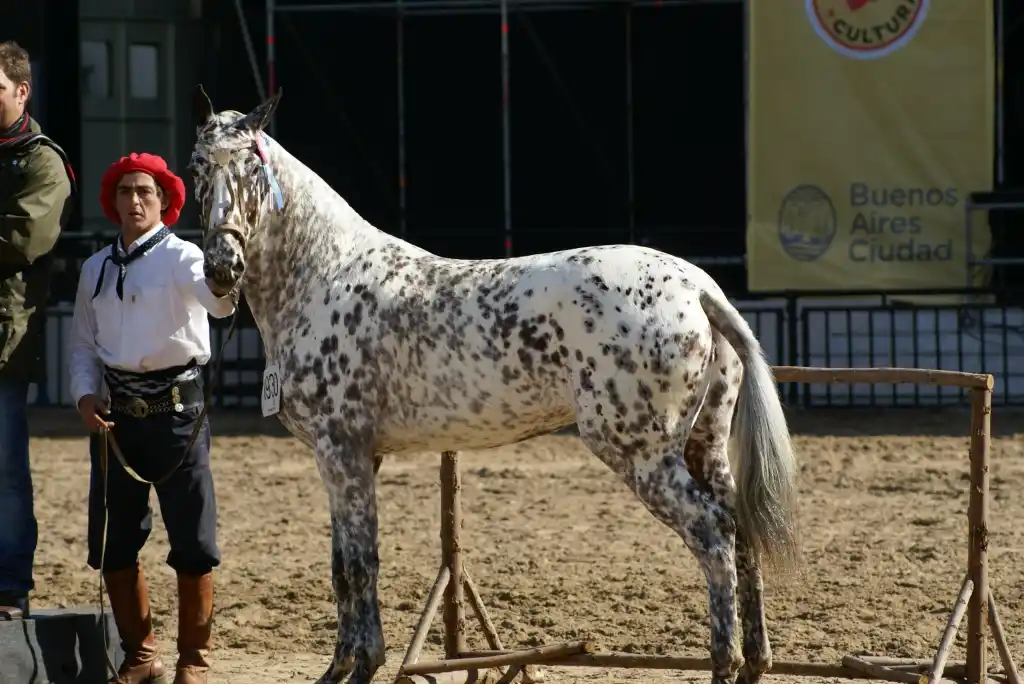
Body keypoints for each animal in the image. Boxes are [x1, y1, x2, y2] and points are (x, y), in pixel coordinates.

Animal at [188, 85, 800, 684]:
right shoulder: (356, 456)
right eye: (197, 167)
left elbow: (359, 567)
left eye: (250, 167)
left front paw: (360, 667)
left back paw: (723, 664)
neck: (325, 275)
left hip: (641, 454)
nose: (221, 266)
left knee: (712, 536)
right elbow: (343, 566)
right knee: (740, 531)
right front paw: (339, 668)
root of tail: (696, 287)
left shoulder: (342, 451)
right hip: (705, 445)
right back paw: (754, 661)